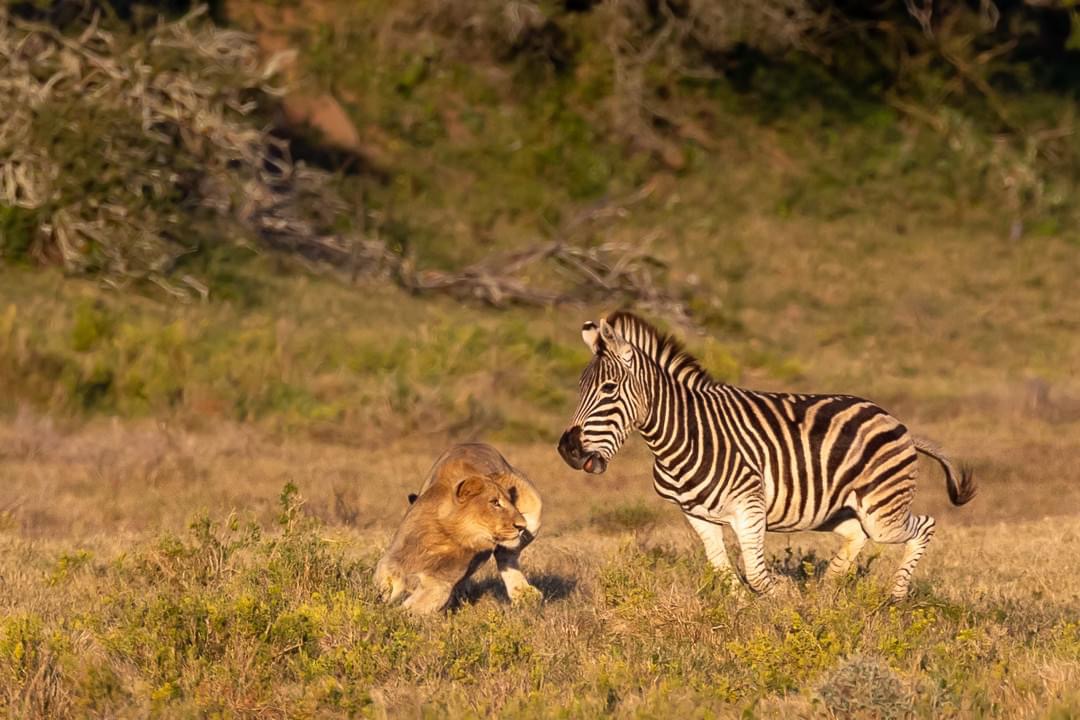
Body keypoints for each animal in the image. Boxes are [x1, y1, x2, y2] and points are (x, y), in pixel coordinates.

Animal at [375, 442, 544, 617]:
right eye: (495, 502)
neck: (445, 534)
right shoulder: (392, 562)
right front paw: (380, 607)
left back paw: (524, 594)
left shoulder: (440, 582)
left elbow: (413, 607)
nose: (522, 525)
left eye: (511, 502)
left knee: (506, 556)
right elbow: (386, 586)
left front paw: (393, 615)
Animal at [557, 313, 980, 600]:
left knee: (923, 526)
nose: (568, 450)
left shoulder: (750, 507)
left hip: (881, 511)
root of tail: (897, 421)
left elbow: (758, 576)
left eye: (609, 389)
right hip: (839, 510)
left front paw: (785, 609)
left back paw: (894, 597)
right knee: (855, 536)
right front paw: (744, 615)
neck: (684, 435)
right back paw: (826, 594)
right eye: (579, 387)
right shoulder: (697, 516)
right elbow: (725, 573)